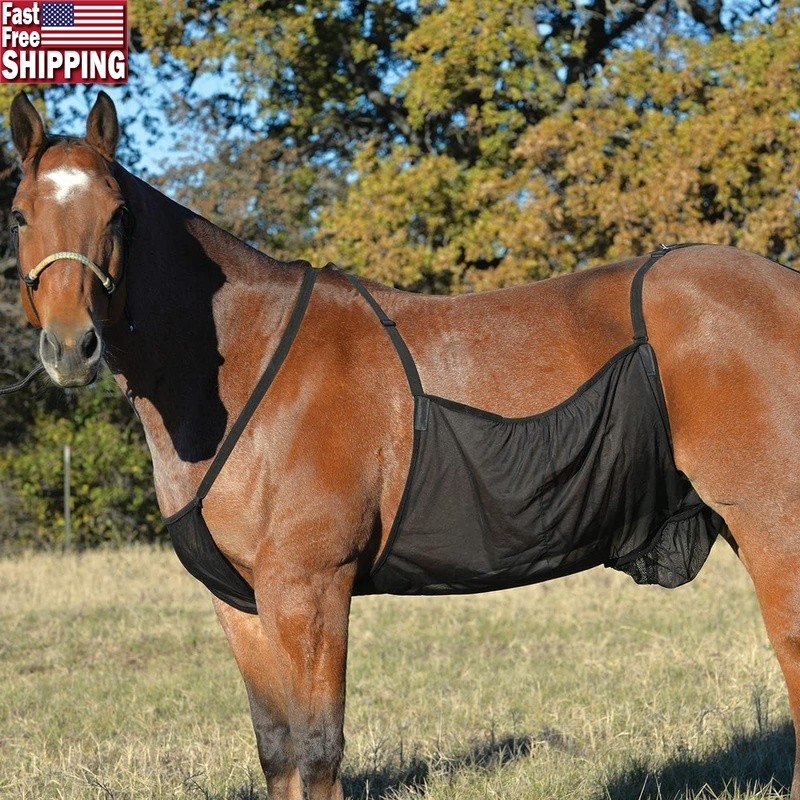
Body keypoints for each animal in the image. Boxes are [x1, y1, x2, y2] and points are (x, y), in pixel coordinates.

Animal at [8, 90, 800, 800]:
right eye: (19, 214)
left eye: (119, 214)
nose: (72, 347)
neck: (245, 366)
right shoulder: (241, 601)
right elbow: (278, 751)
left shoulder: (311, 588)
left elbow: (319, 750)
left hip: (773, 527)